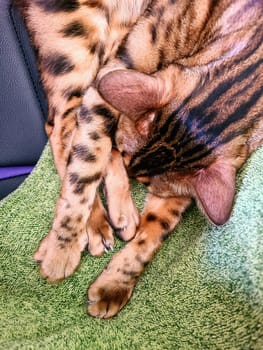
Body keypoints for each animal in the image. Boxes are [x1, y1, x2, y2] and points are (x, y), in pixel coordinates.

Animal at [17, 0, 262, 318]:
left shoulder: (179, 191)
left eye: (147, 183)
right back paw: (87, 229)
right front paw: (62, 248)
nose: (128, 167)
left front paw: (115, 285)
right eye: (126, 153)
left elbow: (156, 232)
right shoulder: (115, 73)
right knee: (62, 126)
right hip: (78, 46)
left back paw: (114, 218)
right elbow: (85, 169)